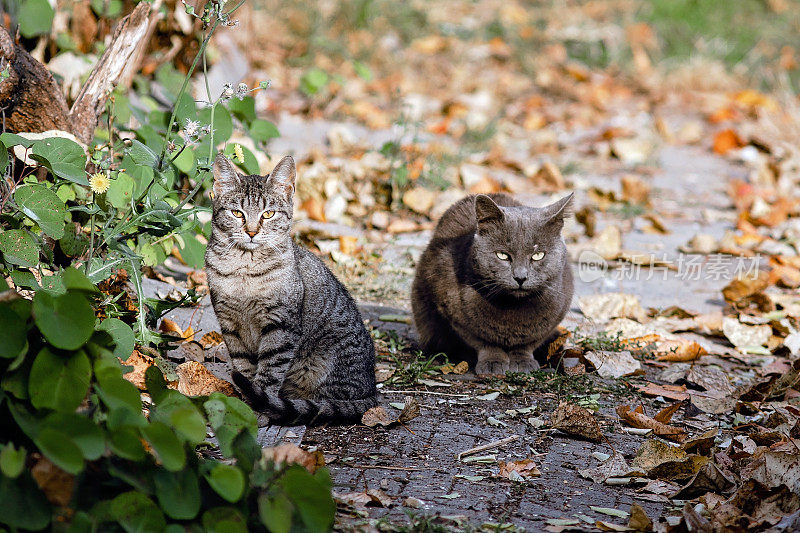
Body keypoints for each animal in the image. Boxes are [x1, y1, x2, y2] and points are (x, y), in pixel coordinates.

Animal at [208, 152, 380, 422]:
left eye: (268, 214)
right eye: (237, 213)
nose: (251, 232)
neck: (243, 270)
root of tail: (372, 391)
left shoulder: (280, 326)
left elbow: (268, 373)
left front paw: (257, 410)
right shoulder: (231, 326)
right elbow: (244, 367)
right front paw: (245, 405)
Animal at [412, 192, 576, 374]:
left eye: (538, 255)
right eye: (502, 255)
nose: (520, 277)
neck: (512, 307)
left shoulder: (556, 312)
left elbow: (528, 343)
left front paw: (522, 361)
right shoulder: (451, 309)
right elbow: (483, 341)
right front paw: (492, 362)